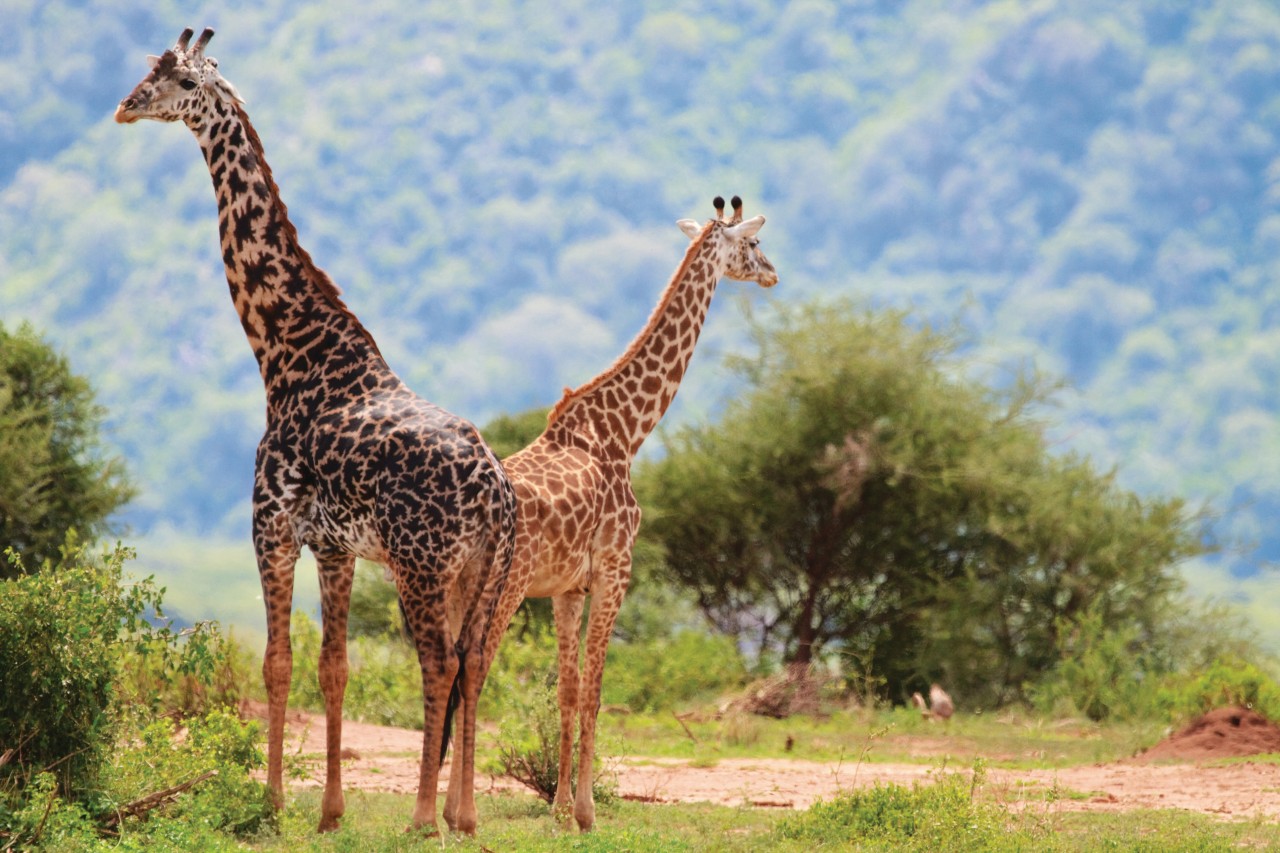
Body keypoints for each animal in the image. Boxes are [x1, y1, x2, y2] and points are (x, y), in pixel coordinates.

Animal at [115, 29, 514, 835]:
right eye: (149, 70)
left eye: (175, 79)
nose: (124, 106)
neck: (285, 352)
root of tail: (497, 493)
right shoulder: (335, 546)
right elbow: (334, 667)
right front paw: (329, 812)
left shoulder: (270, 525)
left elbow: (278, 662)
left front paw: (269, 803)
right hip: (480, 571)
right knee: (475, 661)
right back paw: (463, 816)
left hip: (422, 565)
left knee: (440, 663)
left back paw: (421, 817)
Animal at [442, 194, 778, 824]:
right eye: (752, 243)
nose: (773, 273)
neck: (626, 431)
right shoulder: (615, 569)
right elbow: (596, 689)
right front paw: (585, 812)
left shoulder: (568, 587)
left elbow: (568, 689)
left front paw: (555, 809)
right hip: (504, 586)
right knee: (473, 669)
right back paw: (461, 814)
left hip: (450, 585)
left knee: (442, 667)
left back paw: (435, 814)